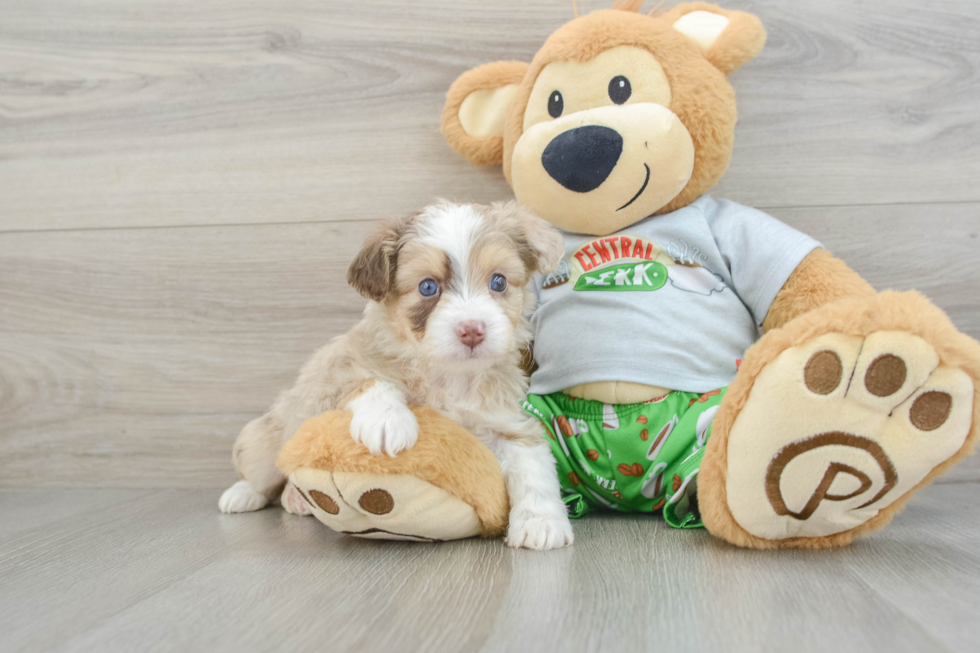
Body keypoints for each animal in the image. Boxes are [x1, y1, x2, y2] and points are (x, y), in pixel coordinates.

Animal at [220, 200, 576, 552]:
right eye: (428, 287)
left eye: (499, 282)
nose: (472, 330)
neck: (449, 374)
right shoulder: (328, 382)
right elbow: (367, 381)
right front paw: (387, 420)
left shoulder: (506, 422)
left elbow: (533, 465)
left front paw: (541, 521)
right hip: (267, 439)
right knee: (261, 473)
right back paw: (244, 494)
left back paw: (295, 499)